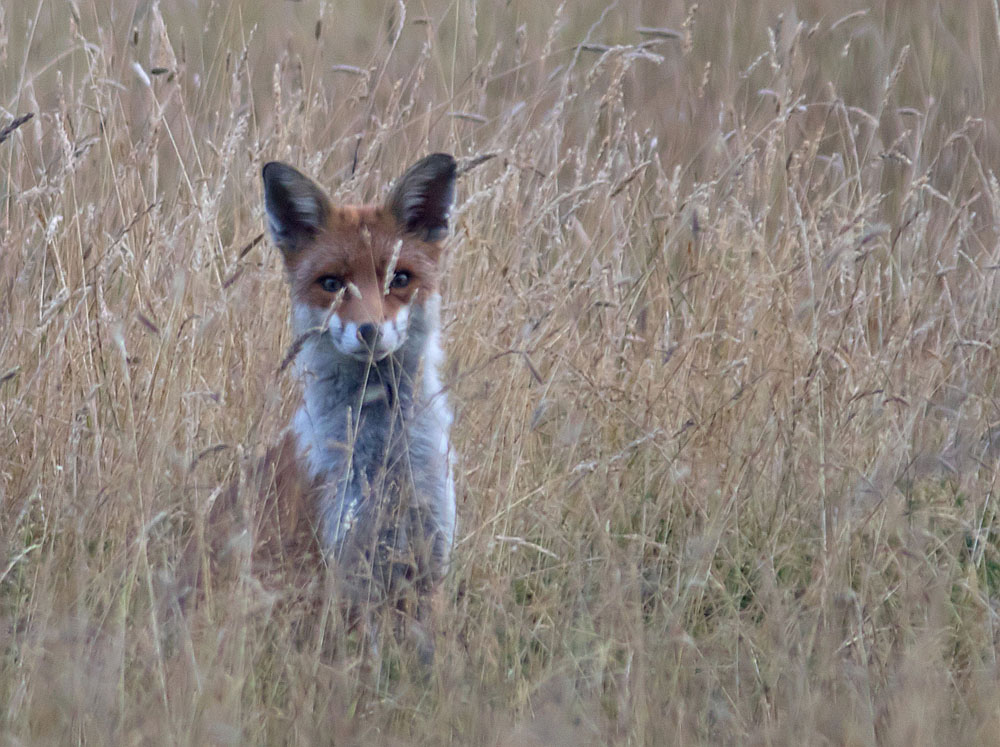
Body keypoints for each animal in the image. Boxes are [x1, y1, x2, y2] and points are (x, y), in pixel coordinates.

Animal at [255, 154, 458, 642]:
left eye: (399, 278)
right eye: (332, 284)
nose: (369, 330)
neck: (387, 458)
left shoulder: (430, 564)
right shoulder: (342, 573)